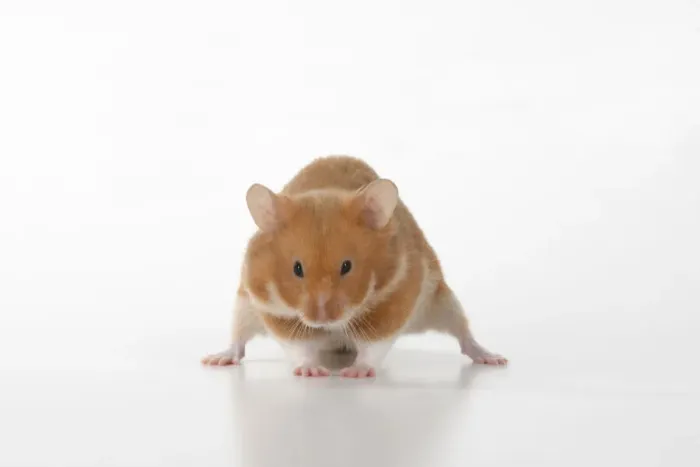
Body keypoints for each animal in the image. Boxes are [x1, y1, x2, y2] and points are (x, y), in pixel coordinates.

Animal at [201, 155, 507, 378]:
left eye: (347, 266)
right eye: (297, 269)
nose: (321, 319)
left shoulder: (398, 295)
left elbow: (374, 345)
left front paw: (355, 373)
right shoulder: (270, 306)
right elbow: (299, 346)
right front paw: (312, 372)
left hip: (442, 301)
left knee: (463, 333)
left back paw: (493, 358)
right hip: (243, 307)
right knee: (238, 340)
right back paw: (216, 359)